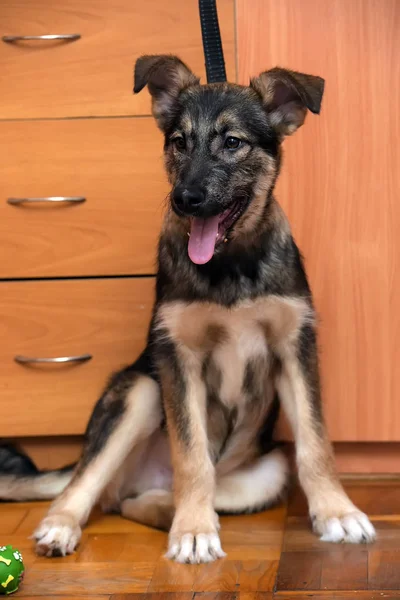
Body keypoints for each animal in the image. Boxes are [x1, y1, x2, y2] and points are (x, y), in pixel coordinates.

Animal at [0, 55, 376, 564]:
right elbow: (192, 454)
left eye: (233, 142)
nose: (185, 199)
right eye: (179, 142)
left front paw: (337, 512)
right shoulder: (179, 357)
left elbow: (316, 443)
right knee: (85, 484)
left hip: (267, 468)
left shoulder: (295, 347)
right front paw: (194, 531)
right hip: (139, 391)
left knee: (147, 501)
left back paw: (181, 515)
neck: (230, 265)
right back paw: (69, 526)